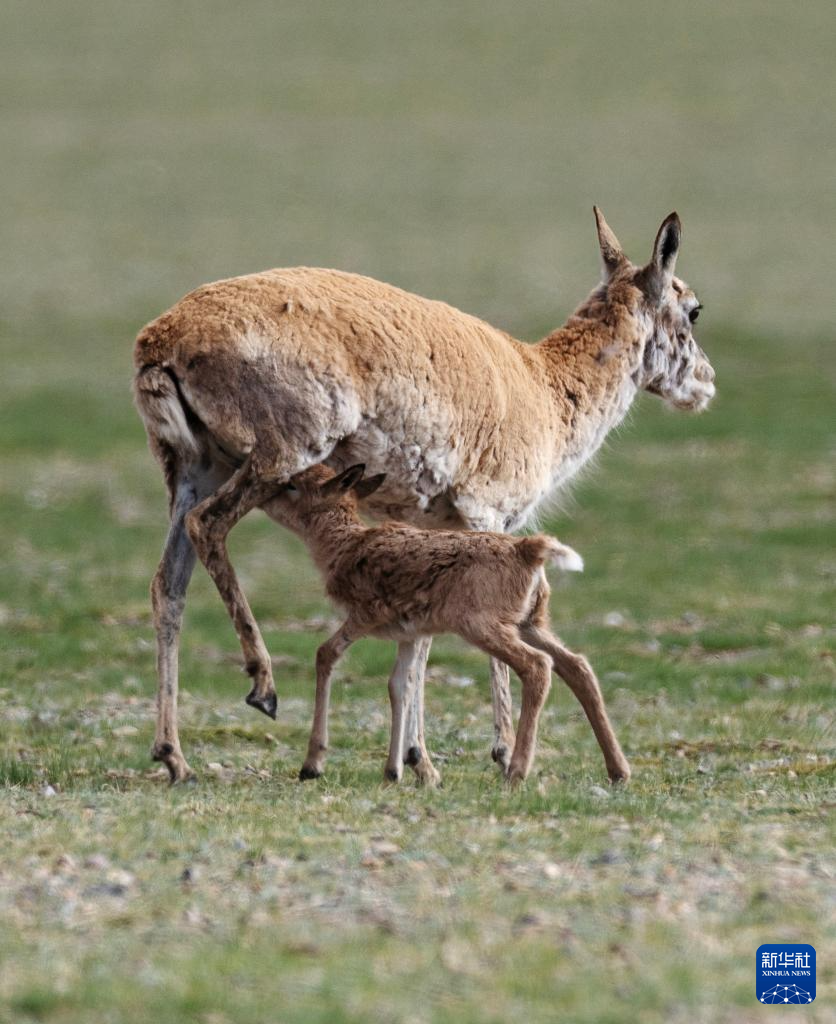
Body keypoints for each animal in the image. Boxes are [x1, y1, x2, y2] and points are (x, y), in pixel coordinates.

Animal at [134, 207, 717, 782]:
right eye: (693, 310)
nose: (708, 383)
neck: (544, 384)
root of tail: (161, 338)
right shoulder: (486, 514)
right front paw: (499, 750)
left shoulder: (435, 528)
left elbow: (419, 647)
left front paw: (417, 759)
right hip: (275, 460)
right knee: (208, 525)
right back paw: (263, 687)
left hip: (194, 471)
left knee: (168, 583)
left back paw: (174, 755)